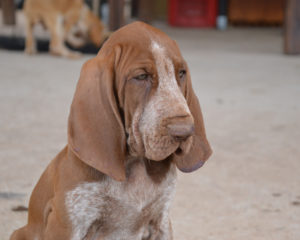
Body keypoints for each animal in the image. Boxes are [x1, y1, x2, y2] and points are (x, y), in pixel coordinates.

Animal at [8, 21, 211, 239]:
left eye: (181, 73)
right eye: (141, 76)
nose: (185, 130)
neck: (135, 163)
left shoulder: (161, 221)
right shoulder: (67, 224)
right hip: (20, 233)